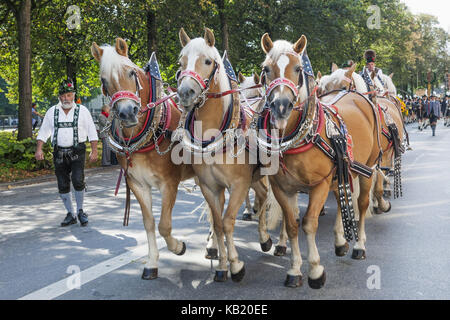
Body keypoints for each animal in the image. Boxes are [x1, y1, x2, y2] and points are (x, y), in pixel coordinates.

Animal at [90, 38, 196, 282]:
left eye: (131, 72)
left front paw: (178, 247)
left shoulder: (169, 183)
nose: (127, 112)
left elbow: (164, 225)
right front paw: (152, 262)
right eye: (104, 81)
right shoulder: (137, 184)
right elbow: (149, 223)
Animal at [176, 28, 278, 282]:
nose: (185, 93)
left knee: (267, 197)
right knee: (261, 195)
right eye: (180, 62)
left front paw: (236, 265)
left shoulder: (239, 184)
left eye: (207, 61)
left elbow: (228, 221)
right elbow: (218, 223)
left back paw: (268, 238)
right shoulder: (210, 187)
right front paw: (222, 265)